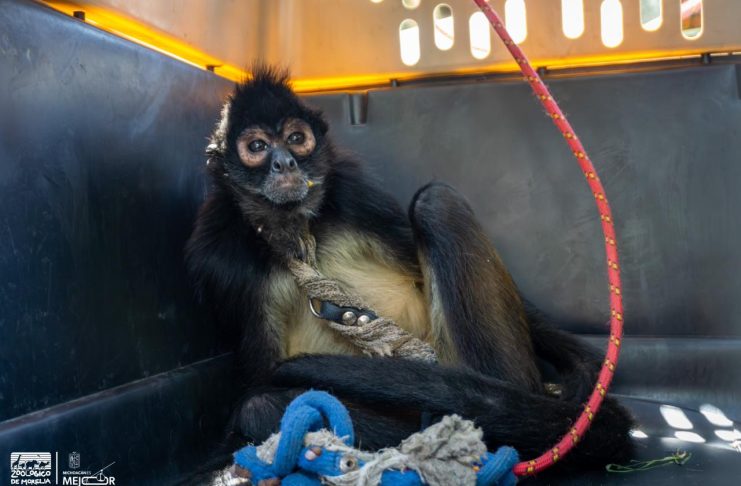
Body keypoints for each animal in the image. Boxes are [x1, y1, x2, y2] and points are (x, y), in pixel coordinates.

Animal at [185, 66, 633, 471]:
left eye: (296, 139)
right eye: (258, 146)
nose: (284, 163)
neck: (297, 228)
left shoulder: (354, 191)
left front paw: (584, 367)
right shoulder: (221, 254)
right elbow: (260, 384)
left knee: (436, 204)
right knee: (259, 406)